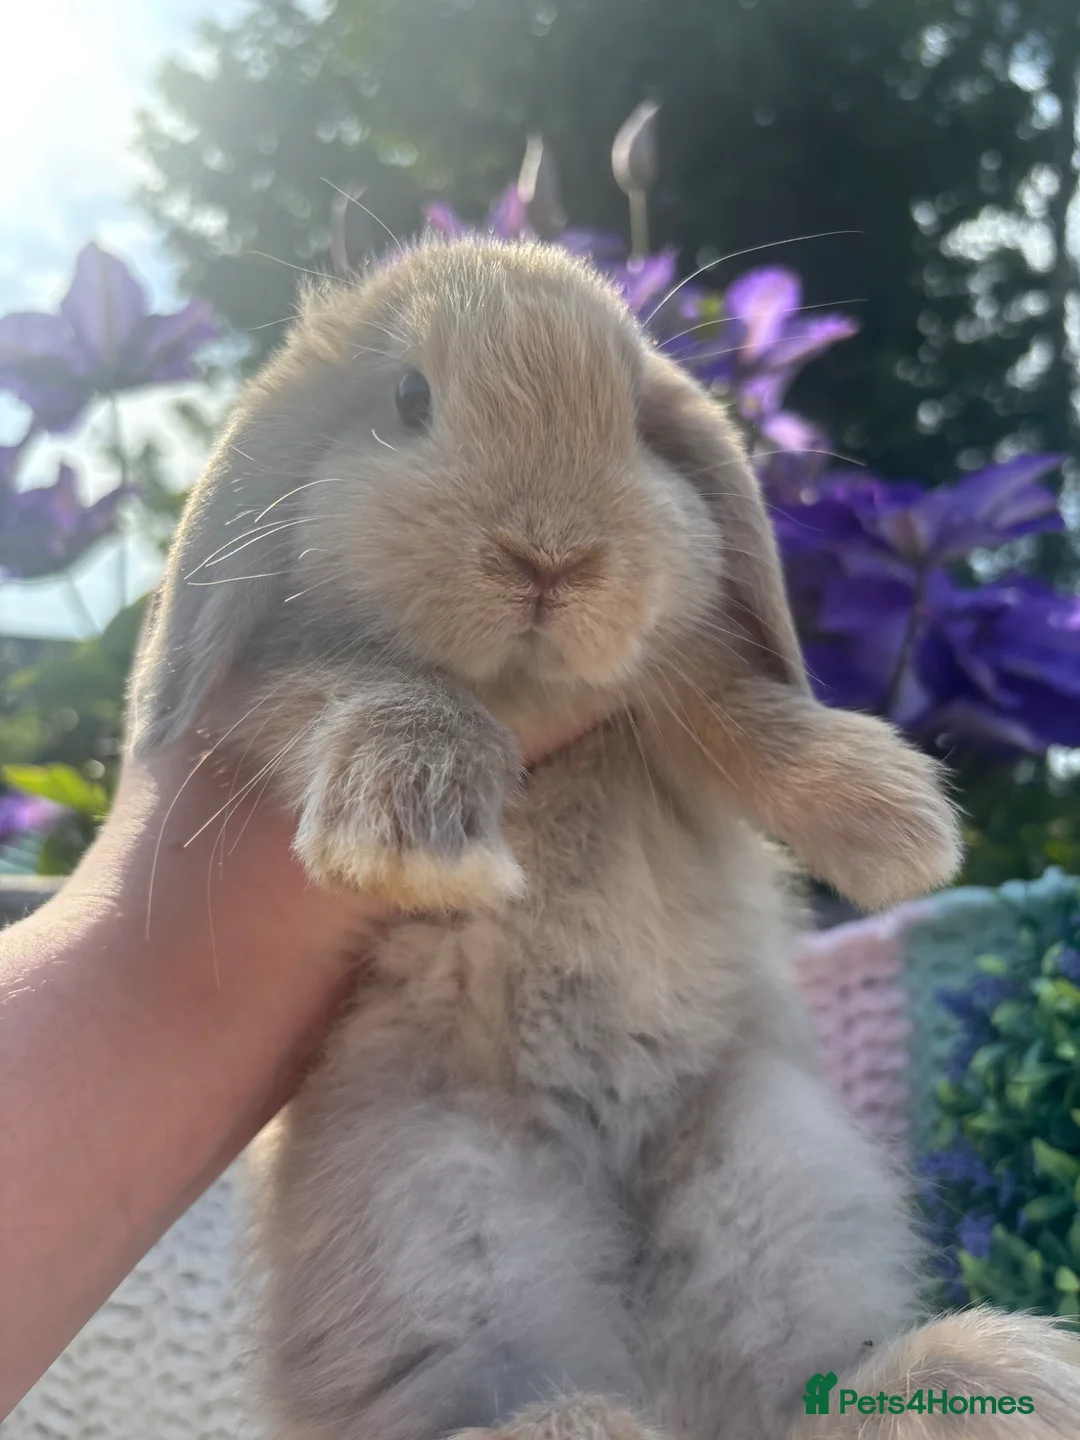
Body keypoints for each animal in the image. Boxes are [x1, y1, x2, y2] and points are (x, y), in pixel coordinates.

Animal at [129, 237, 1080, 1439]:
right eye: (408, 398)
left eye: (633, 421)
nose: (550, 557)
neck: (530, 695)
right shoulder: (281, 687)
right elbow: (369, 688)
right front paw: (423, 830)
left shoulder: (672, 712)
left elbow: (745, 718)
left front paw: (901, 834)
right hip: (427, 1218)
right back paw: (579, 1419)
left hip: (771, 1177)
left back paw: (970, 1378)